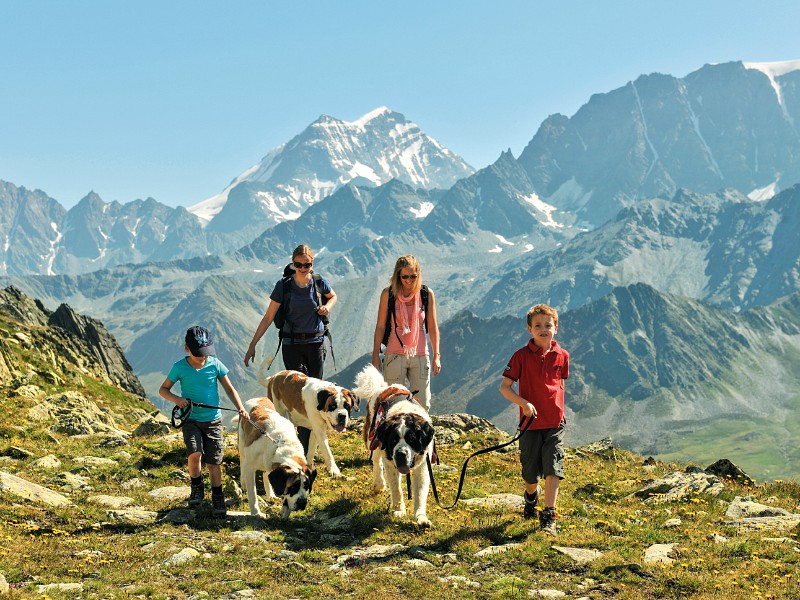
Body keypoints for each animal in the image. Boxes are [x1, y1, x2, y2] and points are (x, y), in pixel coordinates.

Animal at [354, 360, 434, 524]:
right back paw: (379, 484)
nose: (400, 453)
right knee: (376, 461)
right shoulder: (389, 460)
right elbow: (396, 488)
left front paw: (421, 517)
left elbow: (420, 491)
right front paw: (399, 511)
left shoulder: (424, 465)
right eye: (393, 440)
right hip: (373, 438)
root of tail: (383, 387)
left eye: (412, 439)